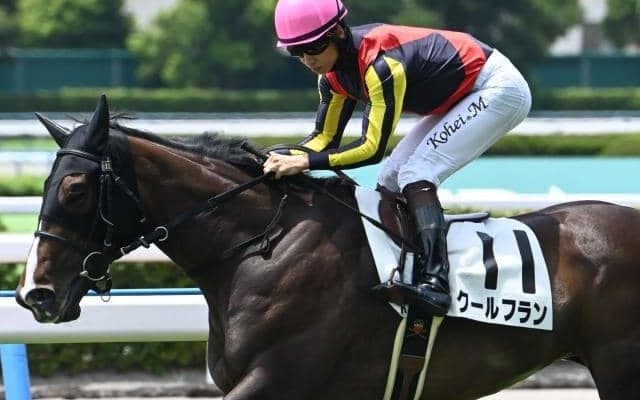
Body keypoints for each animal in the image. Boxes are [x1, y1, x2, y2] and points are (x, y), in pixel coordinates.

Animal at [15, 95, 640, 400]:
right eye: (42, 185)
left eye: (74, 189)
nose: (33, 293)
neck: (262, 246)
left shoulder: (278, 378)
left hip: (620, 369)